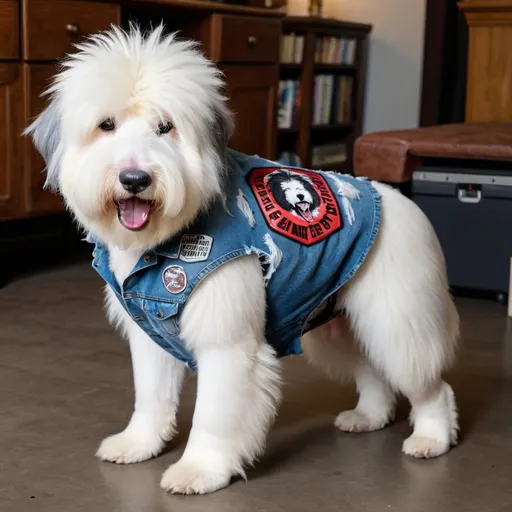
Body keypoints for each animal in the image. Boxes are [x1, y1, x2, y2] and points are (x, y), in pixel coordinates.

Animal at [27, 26, 460, 494]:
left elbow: (214, 414)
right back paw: (368, 417)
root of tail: (401, 202)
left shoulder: (227, 343)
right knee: (373, 372)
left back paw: (432, 438)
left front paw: (200, 469)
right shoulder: (151, 333)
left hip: (397, 326)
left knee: (431, 386)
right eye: (106, 125)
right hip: (340, 327)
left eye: (166, 127)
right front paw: (138, 443)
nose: (135, 179)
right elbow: (151, 398)